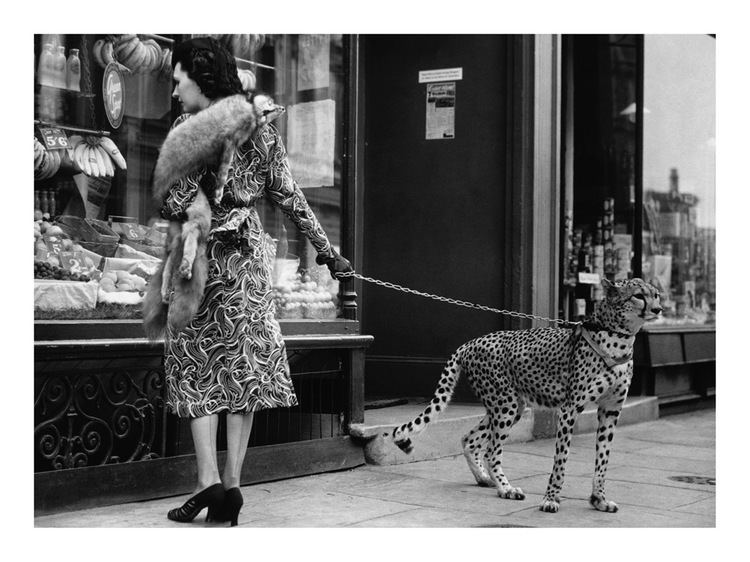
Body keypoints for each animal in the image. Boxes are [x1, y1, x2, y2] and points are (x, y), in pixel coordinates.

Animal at [394, 276, 664, 512]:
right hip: (506, 406)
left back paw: (485, 479)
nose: (659, 309)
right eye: (639, 296)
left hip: (509, 407)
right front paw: (551, 499)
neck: (618, 337)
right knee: (491, 451)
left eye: (657, 294)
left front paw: (599, 500)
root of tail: (471, 342)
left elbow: (603, 460)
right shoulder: (570, 409)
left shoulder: (610, 410)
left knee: (469, 439)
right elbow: (561, 459)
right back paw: (505, 489)